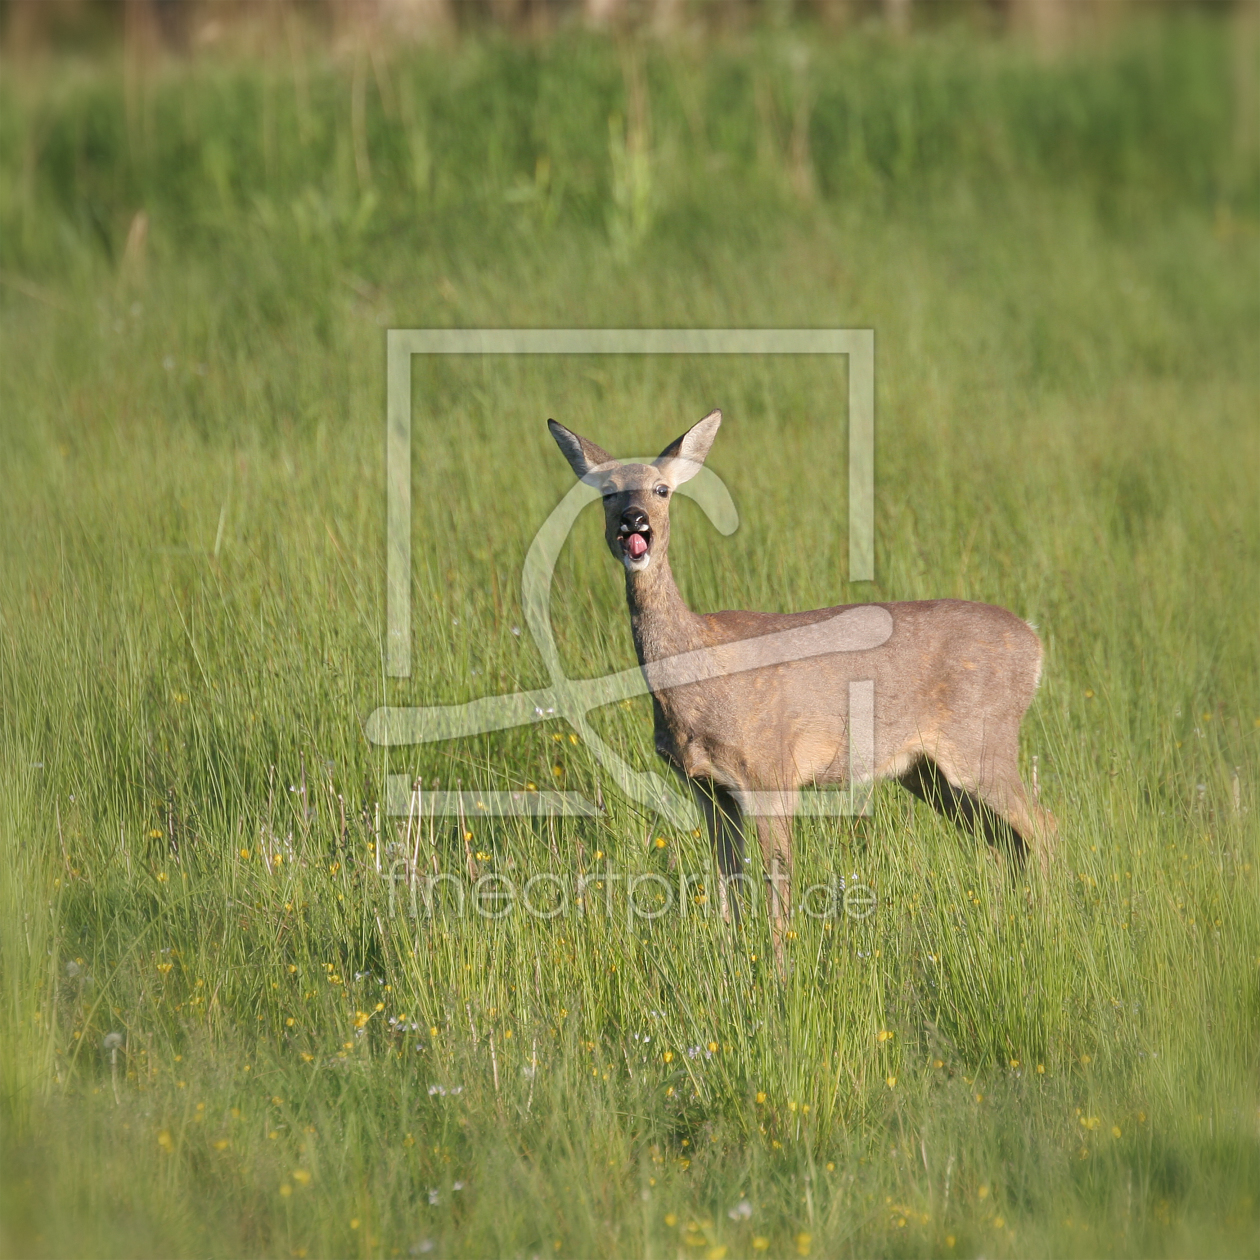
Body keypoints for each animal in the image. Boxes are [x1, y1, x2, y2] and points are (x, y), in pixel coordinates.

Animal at [549, 408, 1053, 967]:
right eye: (608, 492)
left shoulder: (771, 770)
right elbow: (726, 881)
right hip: (926, 773)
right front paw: (729, 962)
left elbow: (778, 878)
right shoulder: (708, 788)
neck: (699, 670)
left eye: (661, 489)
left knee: (1044, 825)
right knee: (1007, 839)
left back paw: (1047, 923)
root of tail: (1034, 643)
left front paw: (779, 969)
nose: (633, 520)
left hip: (981, 740)